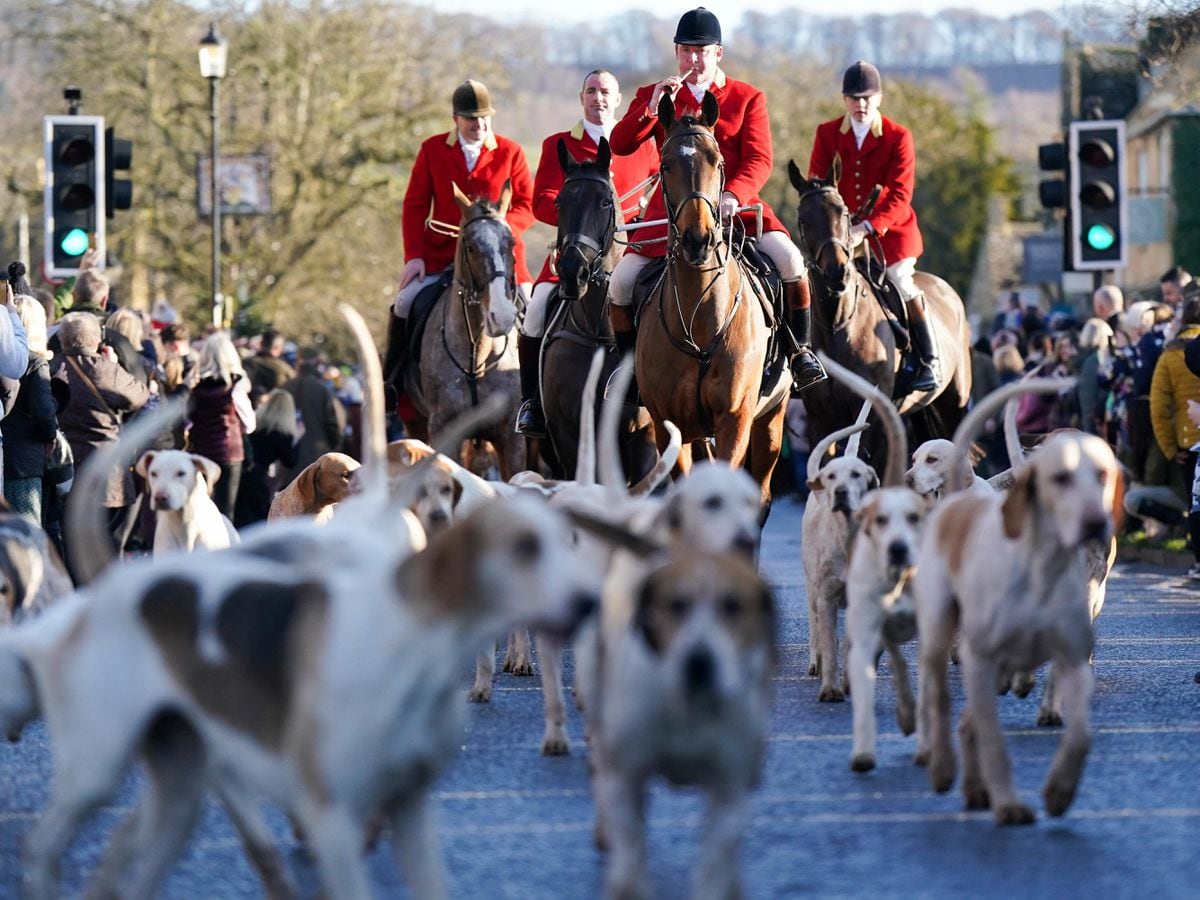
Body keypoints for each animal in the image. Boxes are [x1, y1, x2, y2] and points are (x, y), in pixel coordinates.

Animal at [403, 181, 525, 480]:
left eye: (511, 244)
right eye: (470, 247)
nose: (501, 316)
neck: (477, 355)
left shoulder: (511, 437)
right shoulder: (443, 431)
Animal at [540, 136, 662, 482]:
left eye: (605, 202)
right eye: (559, 203)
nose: (573, 272)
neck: (600, 334)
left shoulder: (644, 438)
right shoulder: (568, 437)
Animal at [633, 97, 792, 508]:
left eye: (717, 162)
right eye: (665, 165)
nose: (697, 240)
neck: (700, 318)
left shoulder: (734, 419)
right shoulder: (669, 428)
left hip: (771, 419)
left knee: (762, 493)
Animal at [787, 164, 974, 472]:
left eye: (843, 212)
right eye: (803, 219)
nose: (836, 272)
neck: (838, 325)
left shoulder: (873, 418)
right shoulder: (820, 419)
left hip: (954, 403)